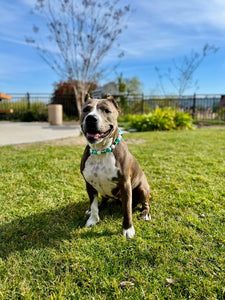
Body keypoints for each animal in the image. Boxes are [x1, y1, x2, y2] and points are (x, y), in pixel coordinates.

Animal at [80, 95, 150, 238]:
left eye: (107, 111)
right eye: (85, 110)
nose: (91, 118)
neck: (101, 150)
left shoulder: (125, 185)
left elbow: (127, 210)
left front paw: (128, 229)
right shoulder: (89, 184)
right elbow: (93, 204)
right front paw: (92, 219)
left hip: (142, 188)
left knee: (145, 203)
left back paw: (145, 214)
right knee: (102, 200)